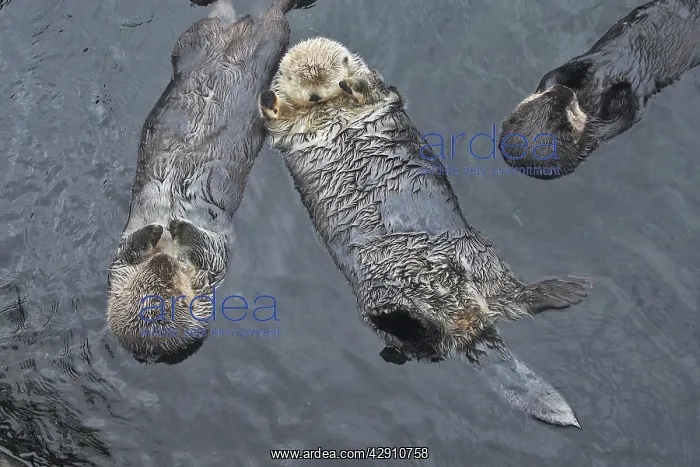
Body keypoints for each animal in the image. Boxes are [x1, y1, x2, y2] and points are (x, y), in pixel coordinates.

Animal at [107, 0, 300, 363]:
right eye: (165, 289)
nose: (163, 257)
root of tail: (239, 29)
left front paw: (167, 227)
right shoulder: (200, 271)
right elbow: (203, 252)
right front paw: (165, 229)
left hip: (211, 40)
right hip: (240, 42)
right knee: (259, 18)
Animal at [258, 37, 591, 427]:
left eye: (329, 75)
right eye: (300, 83)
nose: (315, 95)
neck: (328, 109)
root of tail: (468, 326)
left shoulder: (381, 94)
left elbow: (373, 90)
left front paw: (351, 85)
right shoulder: (288, 132)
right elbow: (278, 121)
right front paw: (269, 97)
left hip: (478, 255)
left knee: (504, 302)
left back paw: (567, 290)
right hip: (385, 293)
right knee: (431, 338)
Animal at [499, 0, 700, 179]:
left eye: (550, 95)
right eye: (566, 111)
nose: (566, 91)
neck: (586, 99)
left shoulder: (548, 82)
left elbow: (553, 74)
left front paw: (583, 67)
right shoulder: (600, 131)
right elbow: (626, 113)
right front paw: (621, 84)